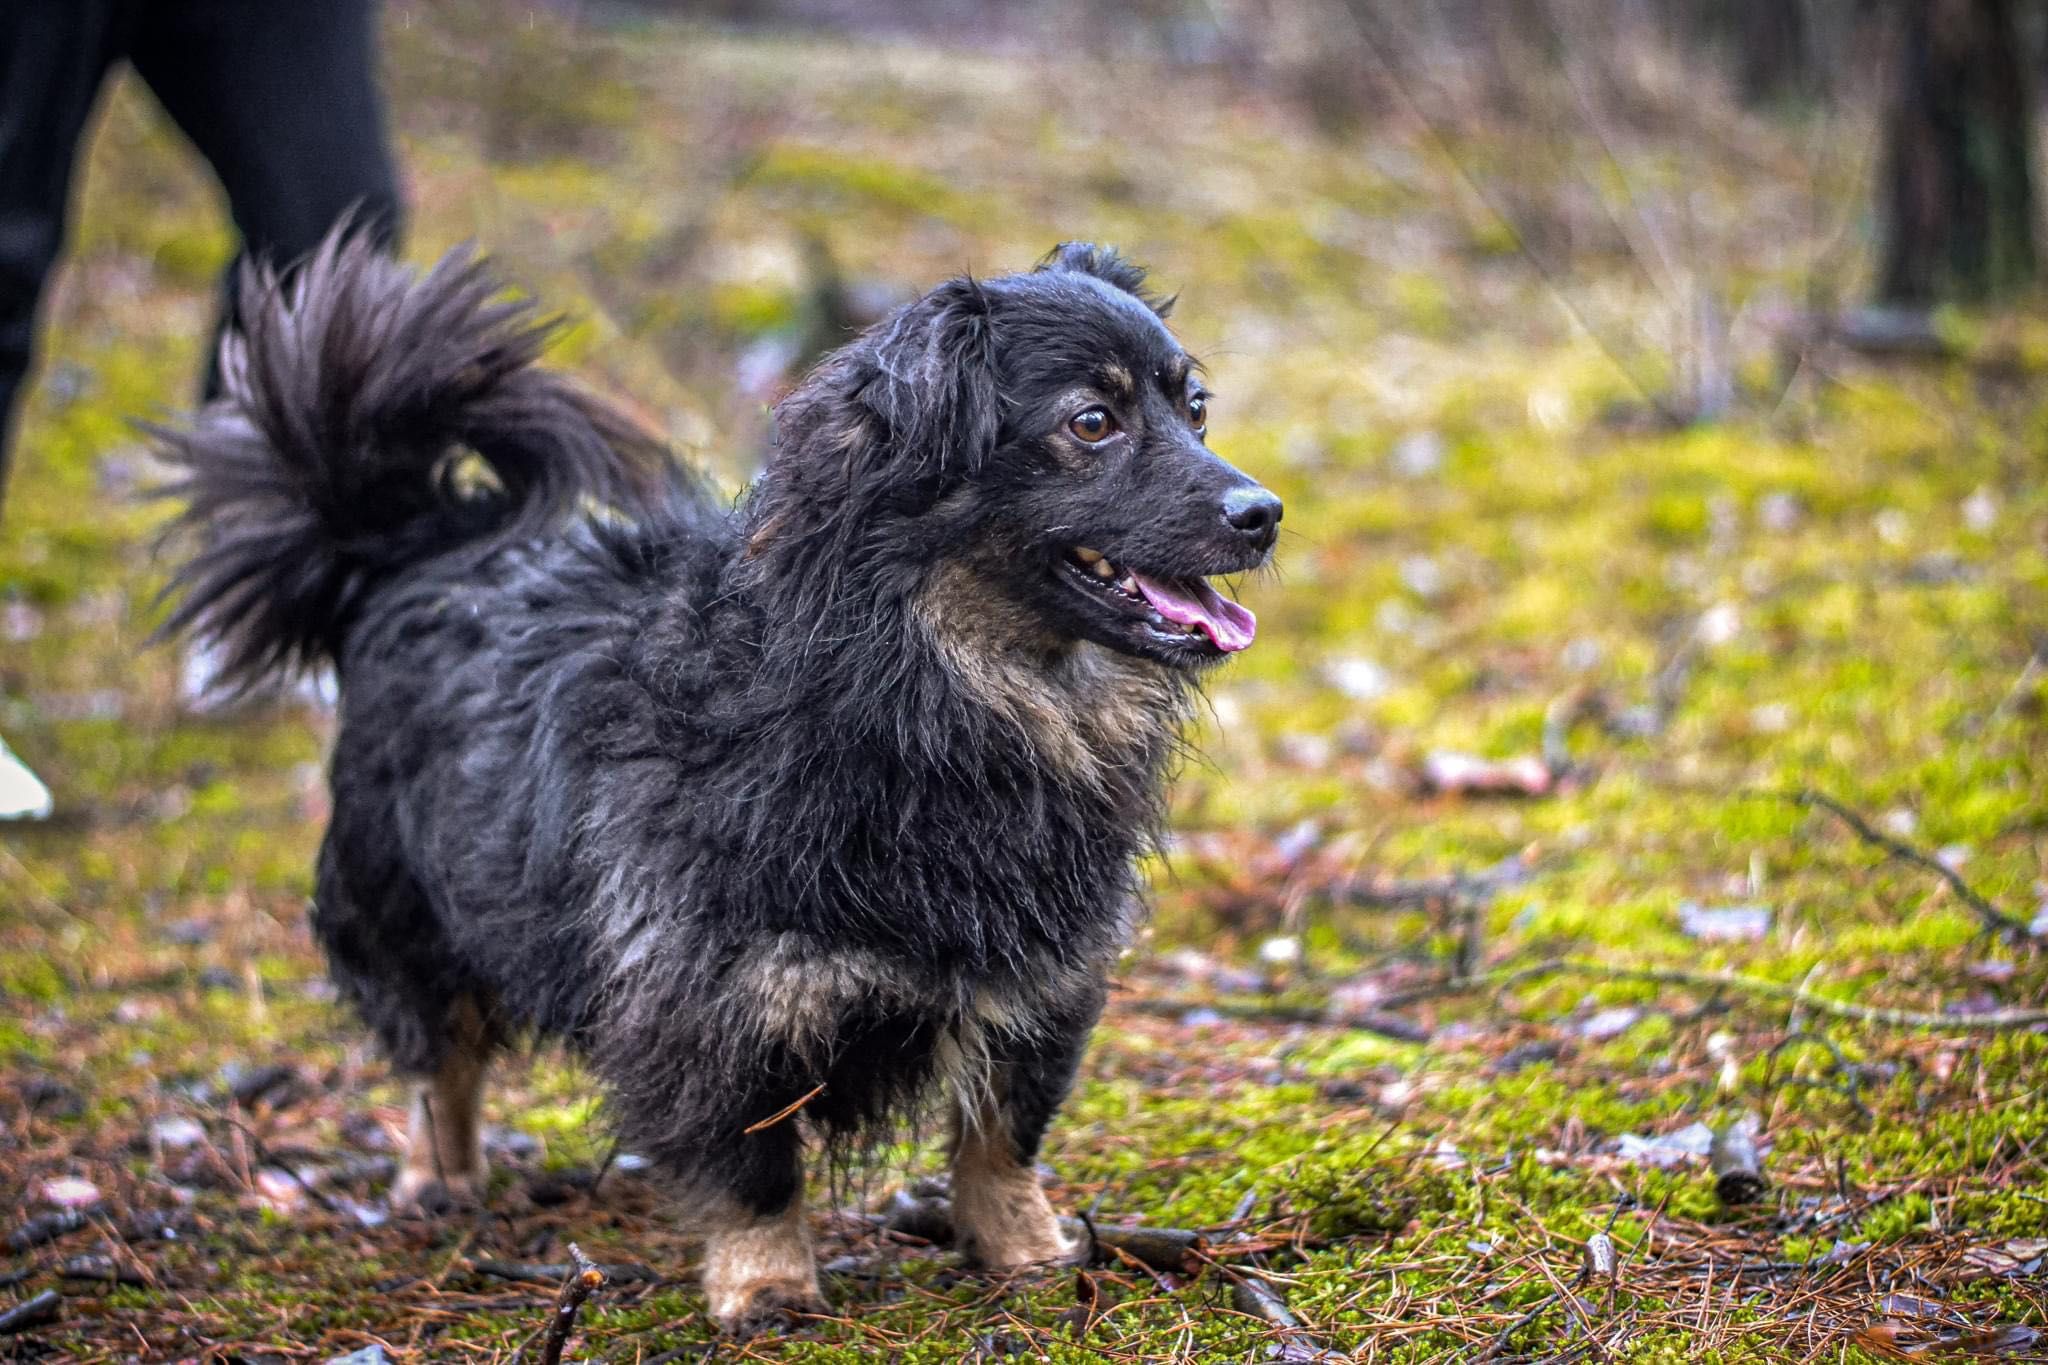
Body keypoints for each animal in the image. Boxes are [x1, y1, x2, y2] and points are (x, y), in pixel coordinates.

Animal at [155, 235, 1277, 1334]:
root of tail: (414, 545)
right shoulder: (709, 1005)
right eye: (1092, 421)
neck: (934, 696)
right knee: (443, 1060)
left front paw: (1026, 1251)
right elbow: (752, 1169)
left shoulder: (1037, 982)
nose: (1263, 511)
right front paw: (766, 1285)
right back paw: (440, 1175)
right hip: (408, 913)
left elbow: (1000, 1137)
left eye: (1194, 407)